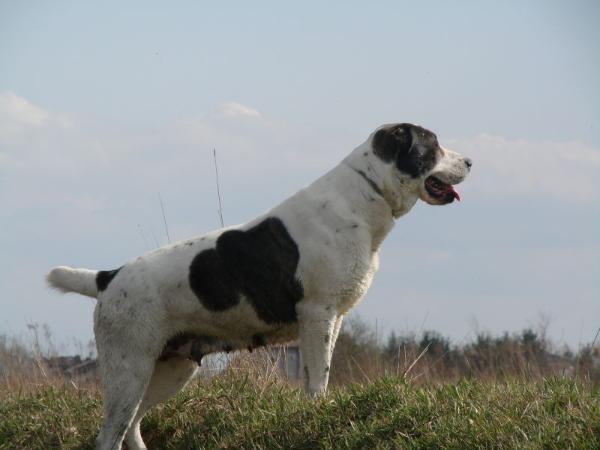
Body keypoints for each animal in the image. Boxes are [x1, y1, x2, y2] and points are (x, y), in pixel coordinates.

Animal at [45, 124, 468, 450]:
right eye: (432, 144)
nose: (470, 162)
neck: (366, 195)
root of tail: (108, 277)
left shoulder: (332, 319)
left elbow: (317, 374)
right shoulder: (318, 313)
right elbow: (319, 377)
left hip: (170, 370)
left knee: (131, 427)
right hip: (128, 369)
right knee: (109, 435)